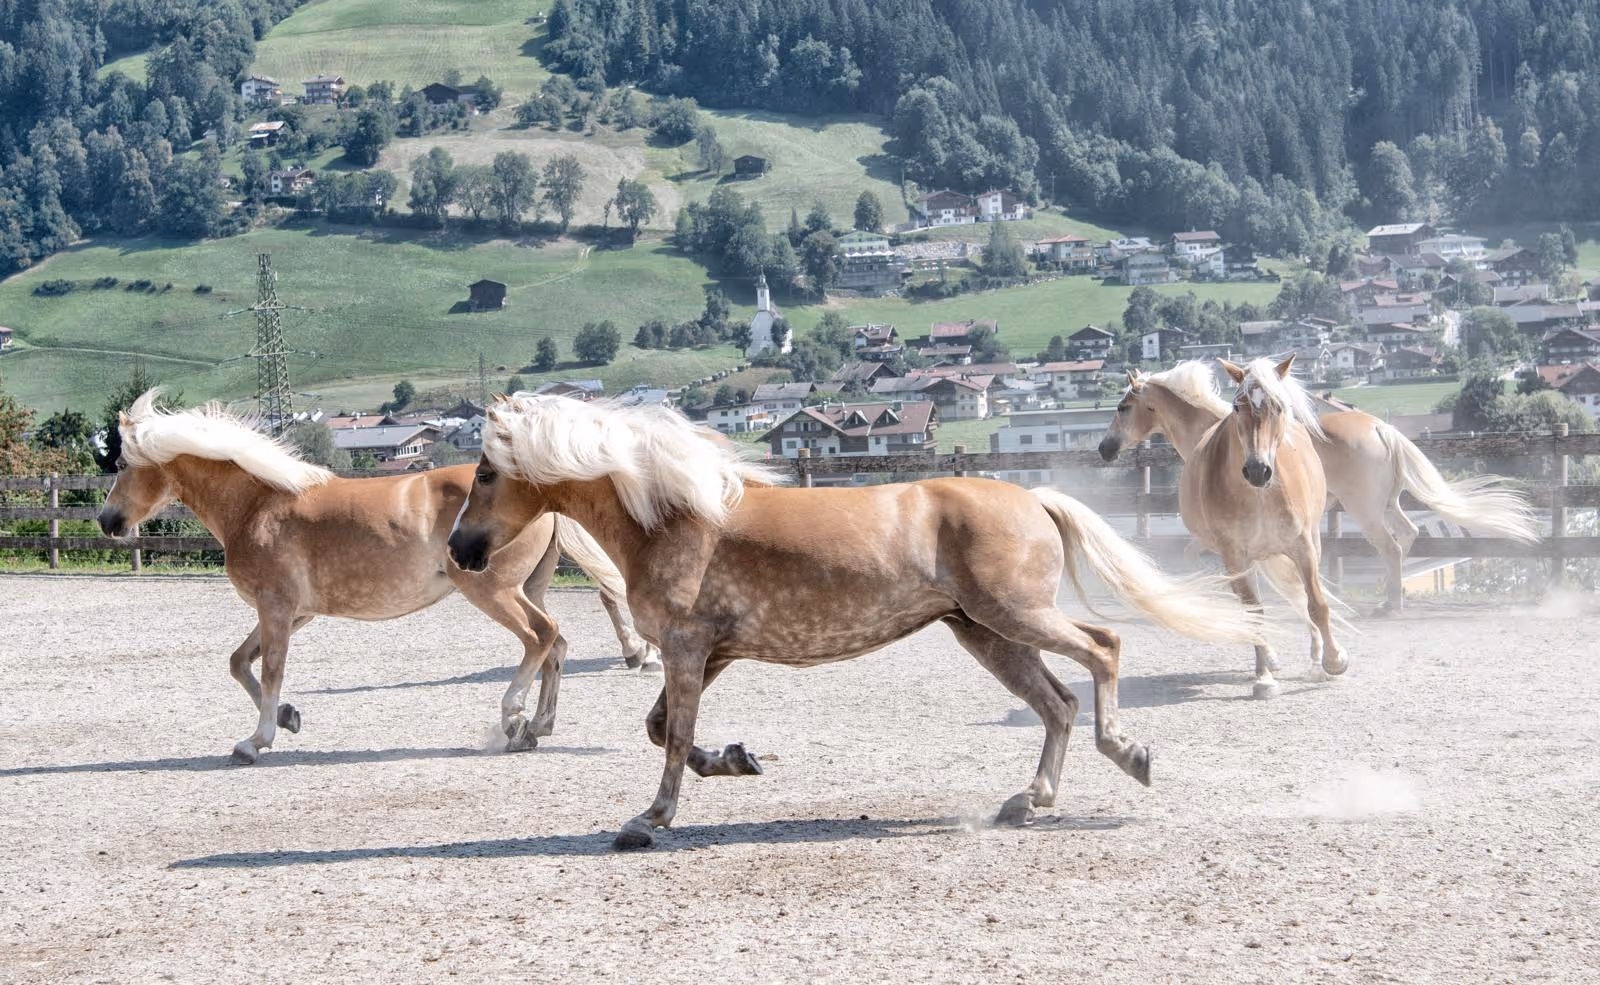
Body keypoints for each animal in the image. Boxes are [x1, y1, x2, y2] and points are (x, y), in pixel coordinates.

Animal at [98, 391, 658, 765]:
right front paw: (288, 717)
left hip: (493, 591)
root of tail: (542, 497)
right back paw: (538, 726)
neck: (259, 506)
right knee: (555, 646)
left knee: (540, 637)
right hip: (528, 588)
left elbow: (270, 671)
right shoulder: (294, 613)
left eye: (122, 462)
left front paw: (255, 741)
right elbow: (240, 663)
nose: (107, 522)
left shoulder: (277, 608)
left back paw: (513, 719)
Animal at [446, 394, 1262, 850]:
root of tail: (1034, 496)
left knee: (1103, 648)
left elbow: (671, 736)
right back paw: (1028, 801)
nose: (460, 549)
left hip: (1014, 614)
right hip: (985, 632)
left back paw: (1129, 752)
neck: (673, 516)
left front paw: (650, 819)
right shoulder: (710, 652)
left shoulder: (685, 647)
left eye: (485, 472)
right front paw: (738, 759)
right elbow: (661, 728)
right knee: (1057, 702)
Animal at [1098, 361, 1537, 610]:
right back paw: (1390, 593)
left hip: (1365, 511)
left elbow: (1195, 557)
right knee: (1410, 534)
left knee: (1393, 547)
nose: (1104, 449)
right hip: (1388, 504)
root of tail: (1382, 429)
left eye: (1122, 407)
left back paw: (1390, 605)